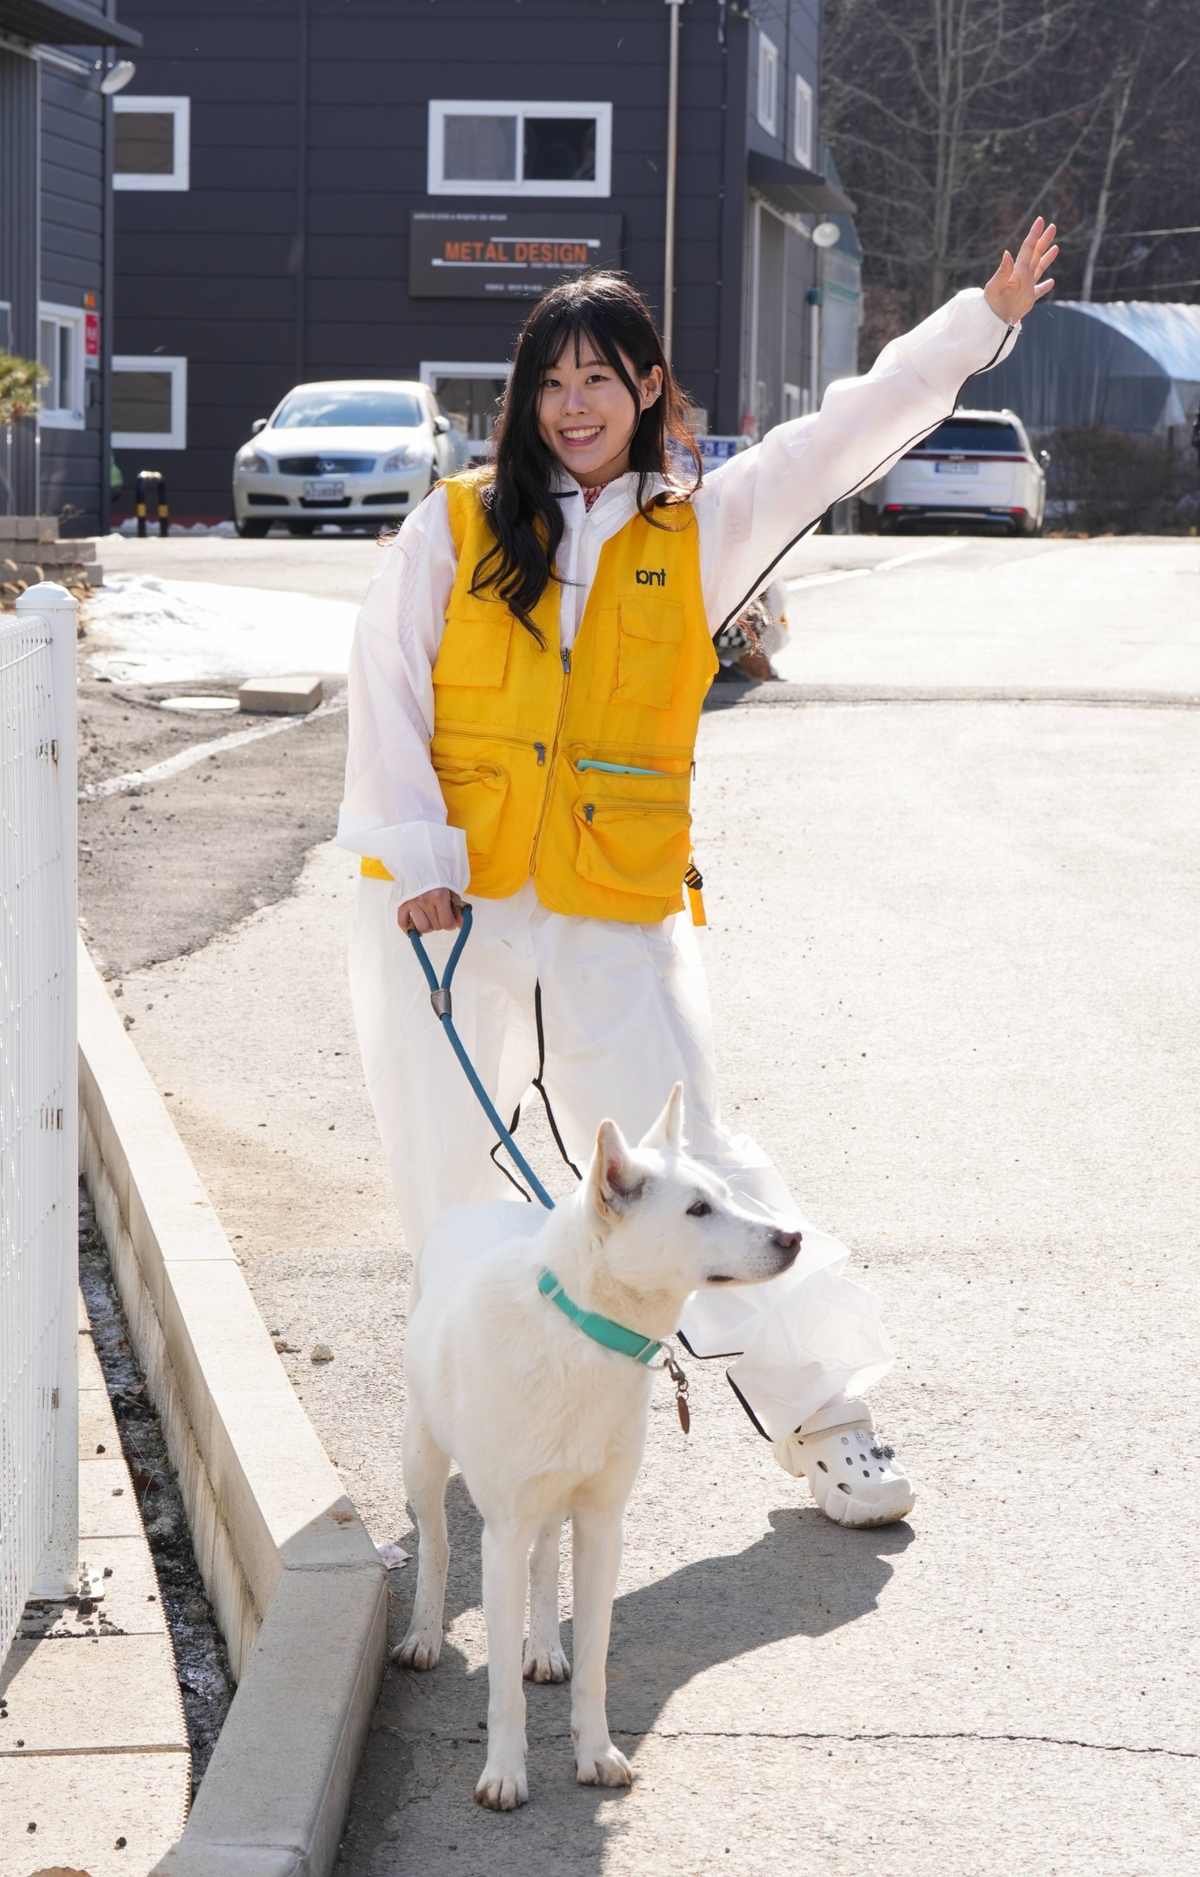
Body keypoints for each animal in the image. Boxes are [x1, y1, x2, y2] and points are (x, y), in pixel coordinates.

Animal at [398, 1088, 803, 1801]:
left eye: (728, 1194)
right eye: (697, 1210)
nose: (794, 1237)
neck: (582, 1330)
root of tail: (477, 1208)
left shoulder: (601, 1525)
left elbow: (593, 1664)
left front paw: (595, 1751)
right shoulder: (501, 1534)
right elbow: (500, 1688)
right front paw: (504, 1772)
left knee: (544, 1561)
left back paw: (543, 1647)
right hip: (421, 1457)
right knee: (437, 1544)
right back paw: (423, 1634)